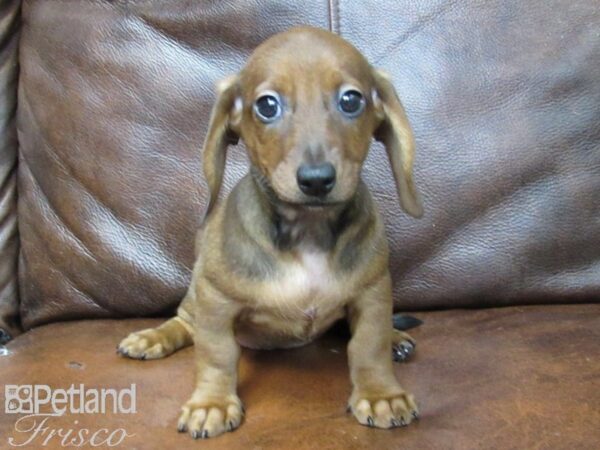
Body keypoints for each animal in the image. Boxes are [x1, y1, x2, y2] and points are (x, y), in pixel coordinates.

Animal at [117, 25, 422, 440]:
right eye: (267, 106)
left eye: (351, 99)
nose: (316, 180)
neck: (308, 231)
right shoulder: (216, 302)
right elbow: (216, 356)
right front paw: (212, 403)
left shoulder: (372, 293)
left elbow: (367, 346)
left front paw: (380, 394)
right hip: (196, 296)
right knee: (184, 322)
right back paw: (152, 337)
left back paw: (395, 338)